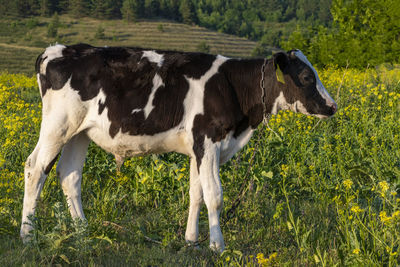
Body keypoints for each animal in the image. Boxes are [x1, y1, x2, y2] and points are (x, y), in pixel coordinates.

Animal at [20, 43, 336, 252]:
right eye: (306, 77)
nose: (333, 106)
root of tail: (56, 50)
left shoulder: (198, 148)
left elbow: (196, 194)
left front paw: (191, 240)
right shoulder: (208, 140)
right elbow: (215, 196)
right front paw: (217, 246)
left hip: (79, 132)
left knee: (69, 175)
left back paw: (83, 232)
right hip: (58, 124)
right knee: (35, 168)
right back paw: (27, 234)